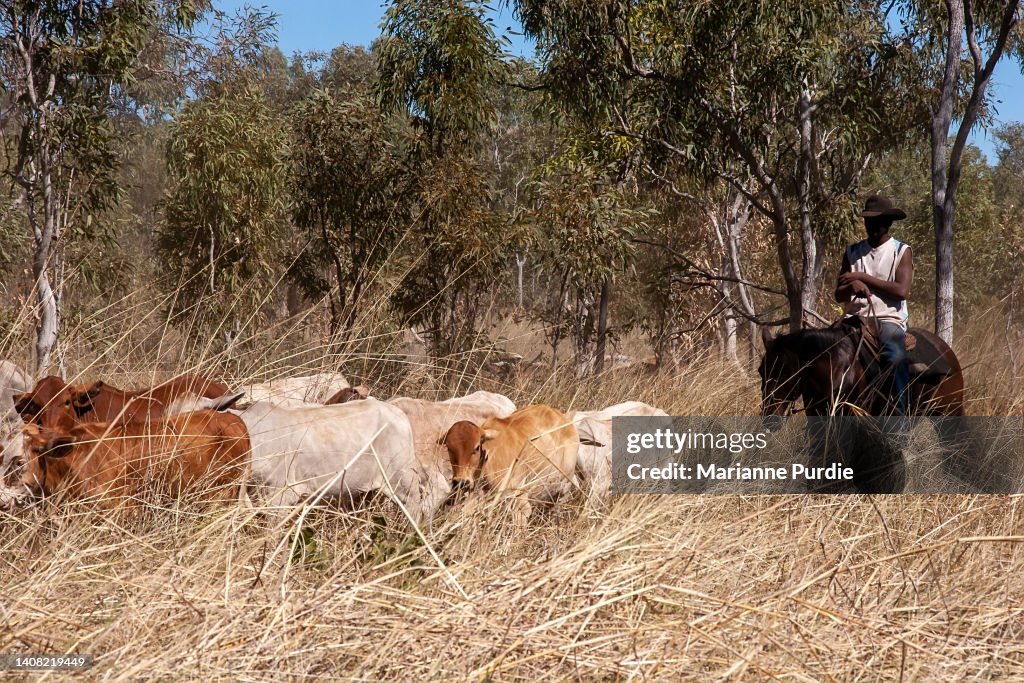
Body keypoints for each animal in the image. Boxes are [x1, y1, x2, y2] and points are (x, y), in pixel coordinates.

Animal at [438, 404, 579, 525]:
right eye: (449, 447)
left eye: (477, 447)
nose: (461, 482)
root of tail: (562, 416)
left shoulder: (519, 502)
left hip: (565, 482)